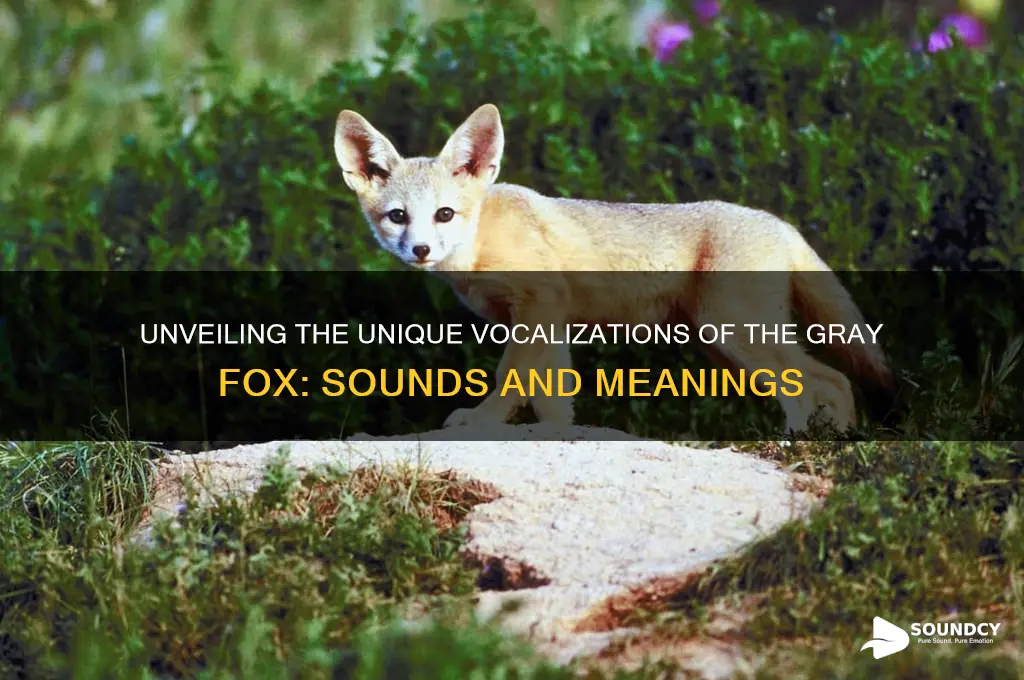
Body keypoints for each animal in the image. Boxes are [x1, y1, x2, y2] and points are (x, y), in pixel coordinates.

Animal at [332, 103, 895, 434]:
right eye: (398, 217)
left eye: (445, 214)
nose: (421, 250)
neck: (483, 241)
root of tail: (779, 222)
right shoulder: (546, 322)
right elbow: (552, 395)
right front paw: (557, 437)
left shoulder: (539, 308)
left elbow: (512, 379)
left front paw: (482, 422)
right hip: (726, 342)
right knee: (826, 383)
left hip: (734, 334)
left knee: (827, 382)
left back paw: (810, 442)